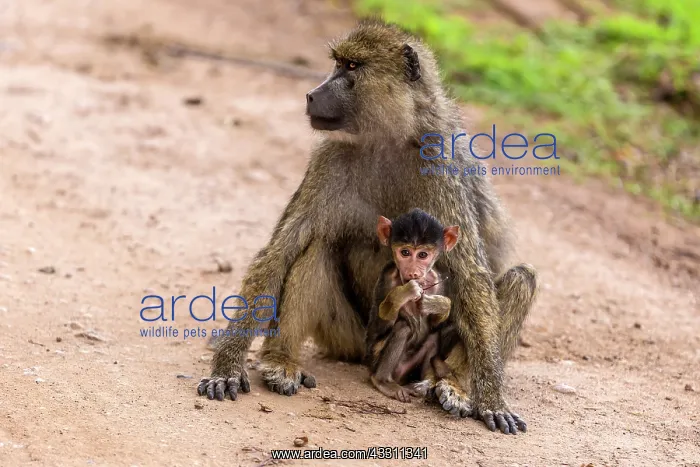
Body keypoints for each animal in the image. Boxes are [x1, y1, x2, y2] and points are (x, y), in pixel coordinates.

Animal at [365, 209, 459, 403]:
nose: (413, 273)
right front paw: (403, 293)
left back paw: (426, 383)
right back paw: (383, 381)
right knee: (402, 327)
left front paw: (438, 304)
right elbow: (376, 329)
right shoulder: (386, 277)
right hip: (375, 361)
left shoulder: (438, 279)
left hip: (410, 369)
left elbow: (436, 324)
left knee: (433, 337)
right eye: (405, 252)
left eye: (423, 255)